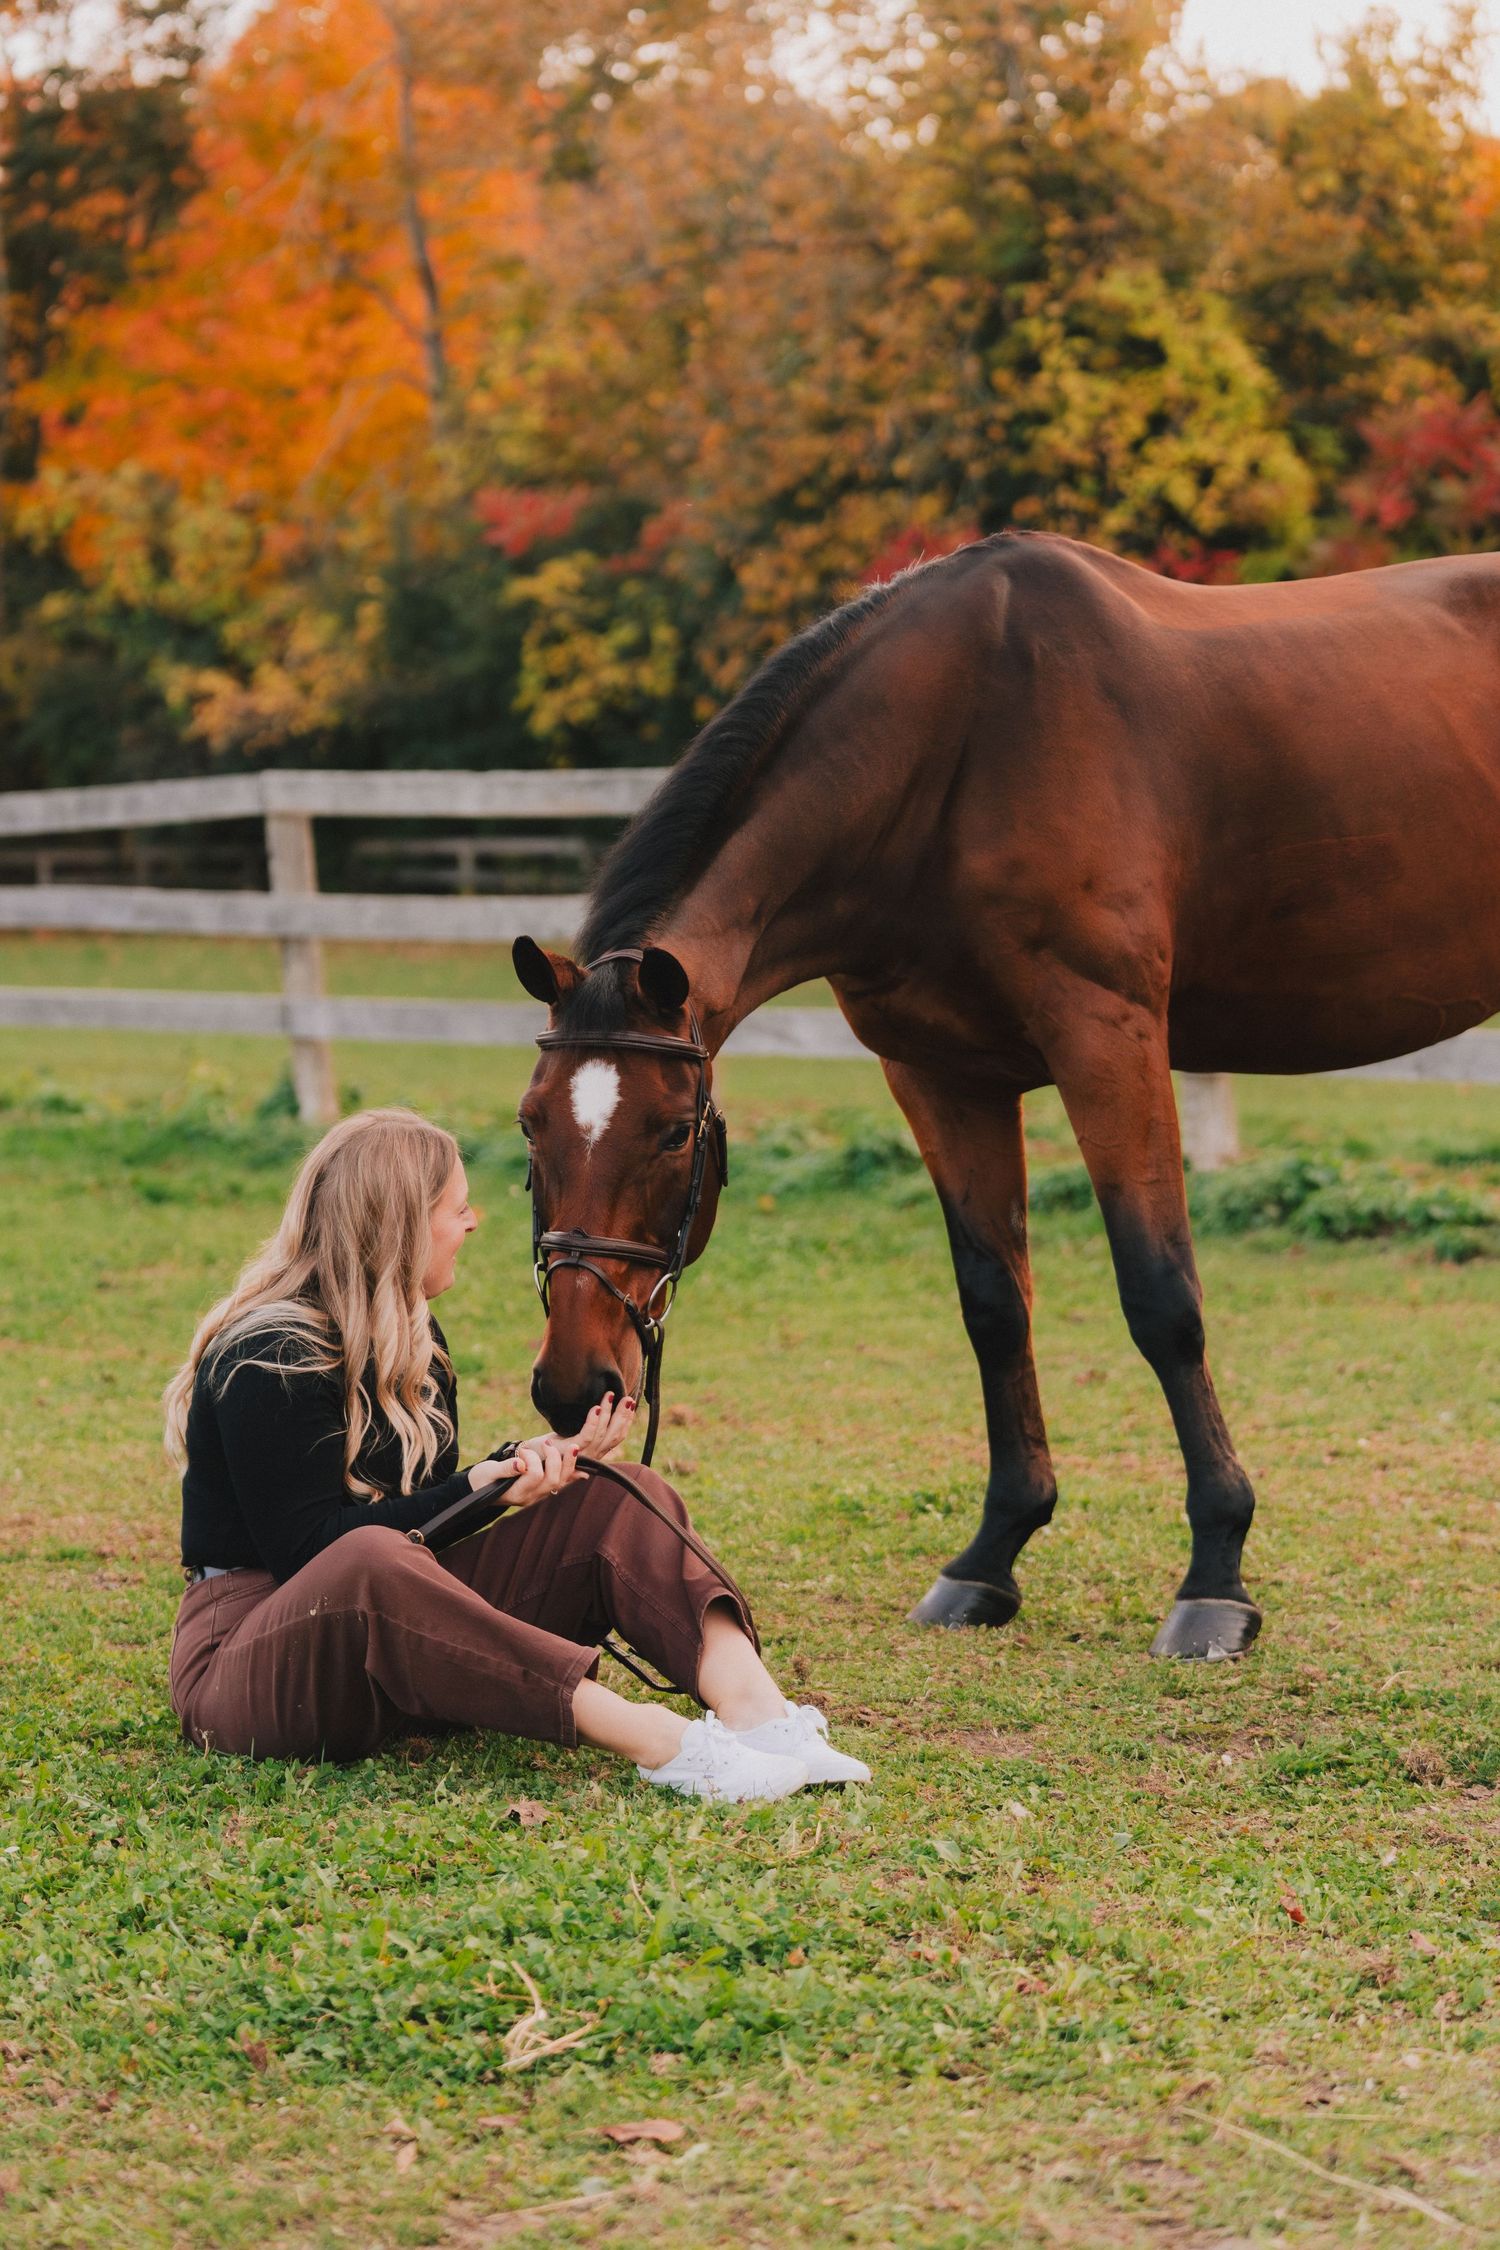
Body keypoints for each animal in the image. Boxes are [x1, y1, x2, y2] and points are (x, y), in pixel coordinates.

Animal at [512, 529, 1500, 1660]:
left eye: (676, 1133)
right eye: (530, 1125)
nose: (572, 1384)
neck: (955, 749)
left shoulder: (1108, 1040)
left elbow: (1162, 1298)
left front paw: (1216, 1575)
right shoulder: (943, 1077)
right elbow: (994, 1304)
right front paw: (991, 1556)